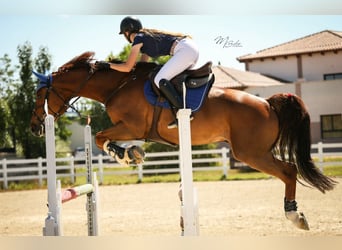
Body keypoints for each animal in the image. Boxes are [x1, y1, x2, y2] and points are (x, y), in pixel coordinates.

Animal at [30, 51, 336, 231]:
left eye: (39, 96)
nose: (35, 128)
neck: (117, 85)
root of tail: (268, 104)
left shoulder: (132, 126)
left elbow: (100, 136)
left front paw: (129, 154)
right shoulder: (131, 128)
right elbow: (99, 137)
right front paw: (131, 154)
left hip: (251, 153)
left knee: (289, 171)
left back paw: (294, 216)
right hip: (253, 152)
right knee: (289, 171)